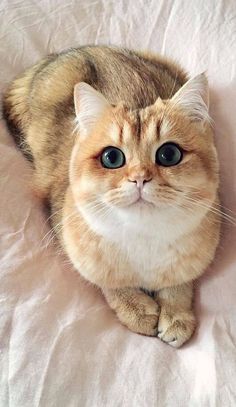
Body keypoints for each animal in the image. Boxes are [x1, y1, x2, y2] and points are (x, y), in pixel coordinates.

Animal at [1, 47, 220, 348]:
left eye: (169, 154)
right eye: (112, 157)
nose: (140, 178)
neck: (143, 237)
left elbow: (179, 285)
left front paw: (177, 315)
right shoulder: (71, 238)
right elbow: (110, 284)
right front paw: (136, 309)